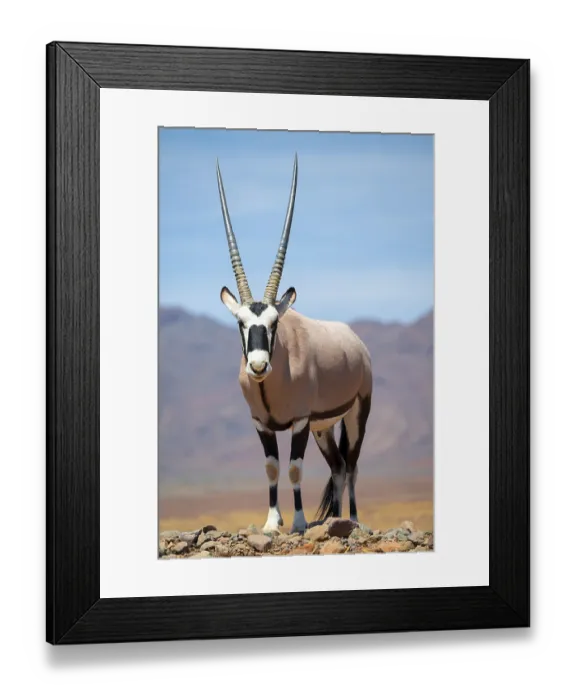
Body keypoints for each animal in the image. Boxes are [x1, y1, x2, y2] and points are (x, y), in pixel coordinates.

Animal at [216, 154, 372, 533]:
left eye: (275, 323)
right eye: (241, 323)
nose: (258, 365)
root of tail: (357, 345)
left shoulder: (300, 422)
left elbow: (294, 469)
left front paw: (299, 522)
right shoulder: (262, 423)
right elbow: (273, 468)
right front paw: (272, 522)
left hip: (356, 414)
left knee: (352, 464)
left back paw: (353, 519)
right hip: (323, 427)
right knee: (338, 466)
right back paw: (332, 519)